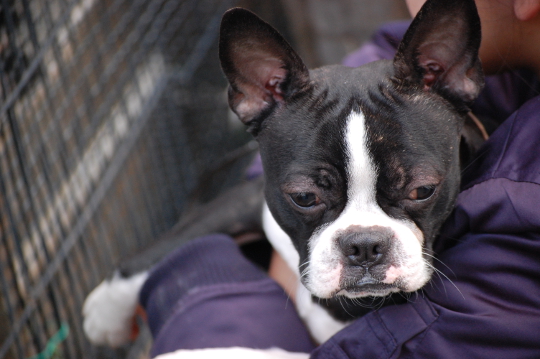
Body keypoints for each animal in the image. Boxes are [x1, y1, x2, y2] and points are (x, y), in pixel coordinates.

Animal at [83, 0, 486, 354]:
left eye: (423, 190)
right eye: (304, 197)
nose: (364, 245)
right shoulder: (247, 200)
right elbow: (170, 243)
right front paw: (104, 314)